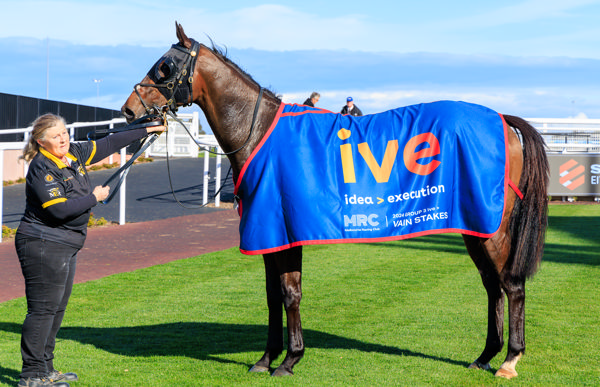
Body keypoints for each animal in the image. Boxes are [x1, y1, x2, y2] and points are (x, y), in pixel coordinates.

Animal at [120, 22, 548, 380]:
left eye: (165, 66)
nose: (129, 109)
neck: (259, 133)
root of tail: (501, 118)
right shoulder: (268, 233)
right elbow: (273, 296)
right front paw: (266, 359)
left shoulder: (283, 229)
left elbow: (290, 293)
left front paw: (289, 360)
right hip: (473, 225)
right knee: (491, 285)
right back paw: (485, 355)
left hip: (493, 227)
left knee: (511, 285)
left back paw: (510, 359)